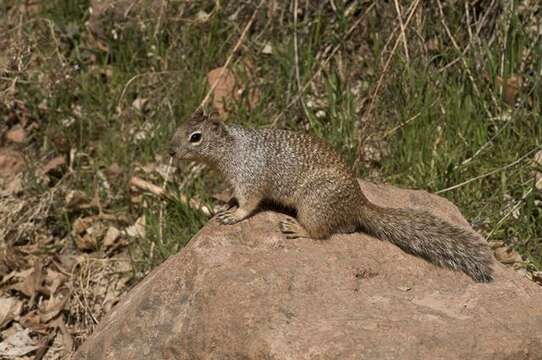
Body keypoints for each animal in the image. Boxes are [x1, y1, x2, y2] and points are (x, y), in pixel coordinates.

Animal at [170, 111, 498, 282]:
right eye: (178, 126)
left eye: (196, 137)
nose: (170, 151)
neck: (231, 147)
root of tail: (359, 204)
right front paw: (224, 204)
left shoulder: (249, 177)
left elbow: (249, 203)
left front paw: (233, 214)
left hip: (313, 203)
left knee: (321, 232)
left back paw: (297, 228)